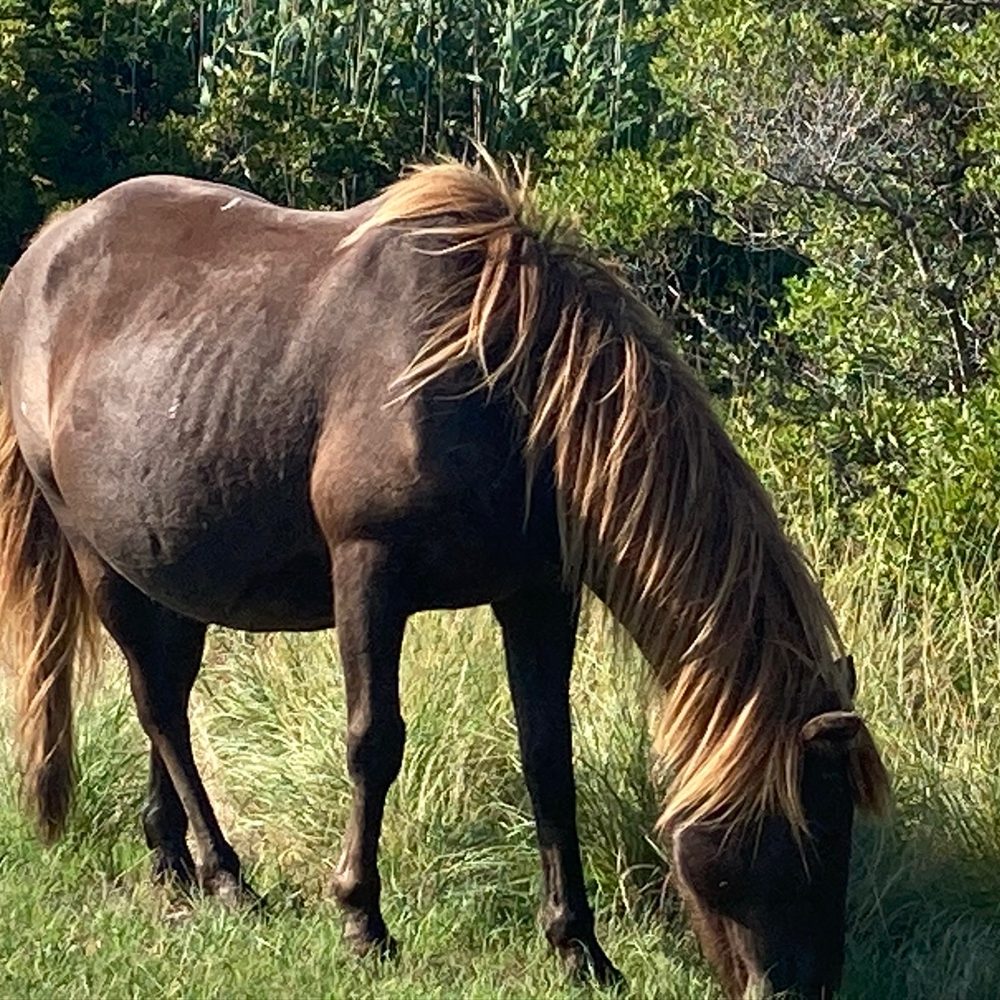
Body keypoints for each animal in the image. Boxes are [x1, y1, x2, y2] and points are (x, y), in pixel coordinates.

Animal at [0, 159, 889, 997]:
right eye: (803, 837)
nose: (799, 988)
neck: (510, 388)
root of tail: (43, 253)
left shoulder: (538, 594)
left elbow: (548, 756)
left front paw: (579, 945)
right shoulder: (370, 572)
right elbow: (373, 742)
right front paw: (362, 921)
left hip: (167, 571)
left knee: (169, 698)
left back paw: (173, 861)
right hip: (96, 555)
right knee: (157, 703)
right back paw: (226, 877)